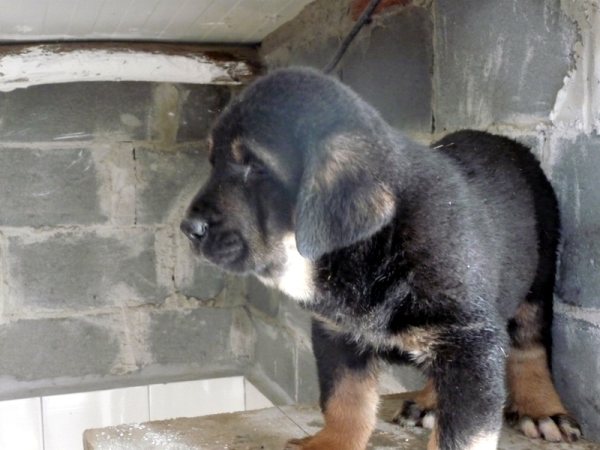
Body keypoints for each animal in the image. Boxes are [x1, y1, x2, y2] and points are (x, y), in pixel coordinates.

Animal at [182, 67, 580, 450]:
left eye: (254, 167)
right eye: (213, 161)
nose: (189, 228)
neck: (375, 250)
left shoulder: (471, 340)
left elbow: (461, 432)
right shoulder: (337, 335)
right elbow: (344, 401)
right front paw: (330, 444)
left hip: (538, 278)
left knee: (530, 346)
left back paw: (542, 410)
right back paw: (430, 402)